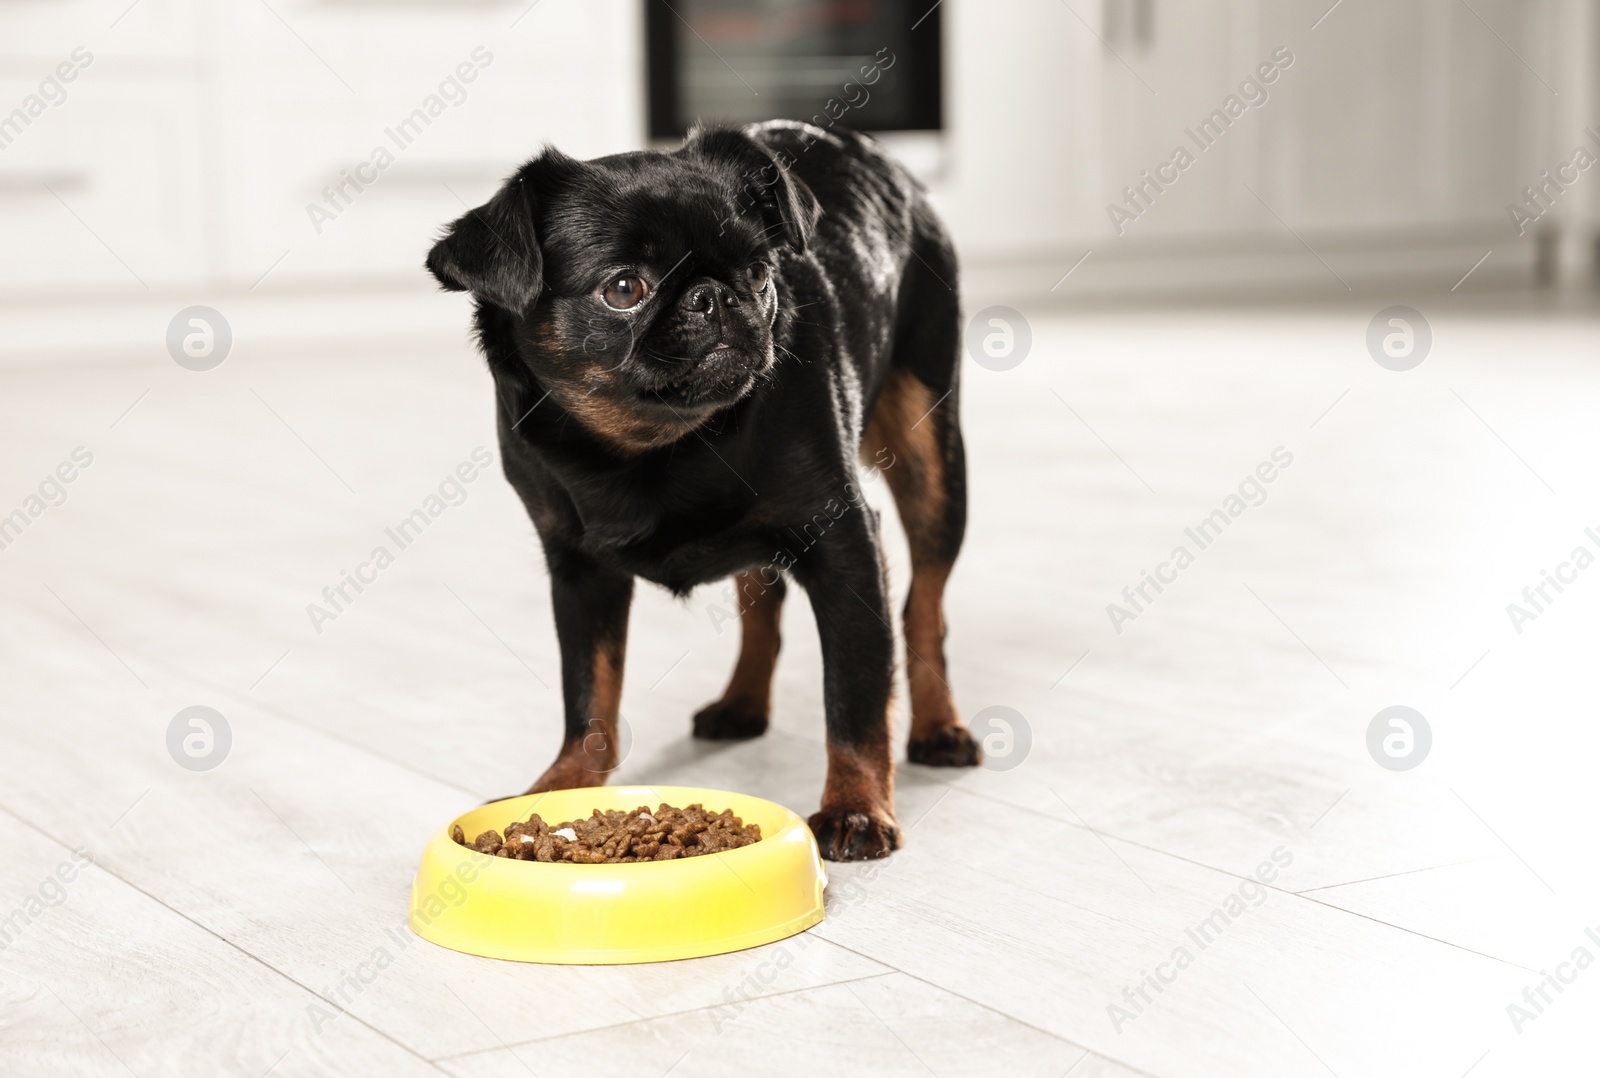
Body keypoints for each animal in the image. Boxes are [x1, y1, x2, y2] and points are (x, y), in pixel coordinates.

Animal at [425, 119, 972, 857]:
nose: (715, 294)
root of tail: (873, 151)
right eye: (623, 288)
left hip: (934, 459)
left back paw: (938, 727)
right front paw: (560, 787)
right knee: (761, 600)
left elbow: (854, 695)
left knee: (925, 606)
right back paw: (742, 702)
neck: (652, 448)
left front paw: (856, 806)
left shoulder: (844, 544)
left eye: (761, 272)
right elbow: (589, 695)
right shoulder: (579, 571)